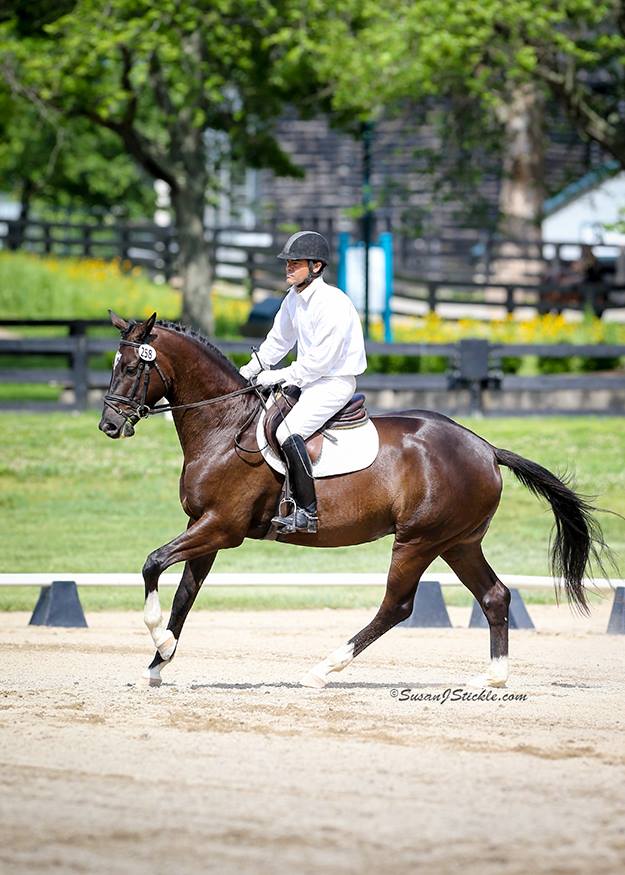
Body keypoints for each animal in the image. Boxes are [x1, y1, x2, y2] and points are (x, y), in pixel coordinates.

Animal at [100, 314, 608, 692]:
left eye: (132, 369)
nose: (109, 425)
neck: (225, 428)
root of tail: (485, 448)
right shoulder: (204, 527)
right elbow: (185, 594)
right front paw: (159, 660)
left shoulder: (222, 527)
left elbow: (152, 563)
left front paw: (159, 641)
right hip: (458, 542)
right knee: (494, 595)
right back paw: (494, 678)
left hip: (417, 542)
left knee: (397, 606)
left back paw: (323, 669)